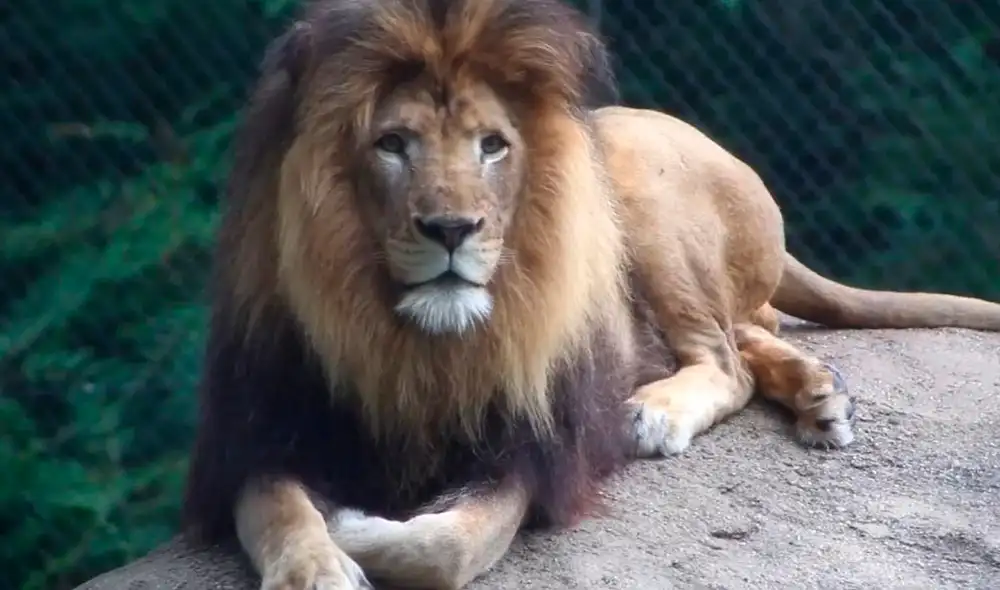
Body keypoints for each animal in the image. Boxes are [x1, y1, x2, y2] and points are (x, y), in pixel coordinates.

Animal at [179, 0, 1000, 588]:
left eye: (492, 146)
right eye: (392, 144)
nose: (452, 229)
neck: (414, 340)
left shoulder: (527, 448)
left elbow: (446, 548)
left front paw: (352, 526)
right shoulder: (269, 429)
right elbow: (281, 511)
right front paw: (316, 566)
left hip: (632, 190)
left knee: (725, 357)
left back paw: (658, 411)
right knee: (751, 332)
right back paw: (821, 393)